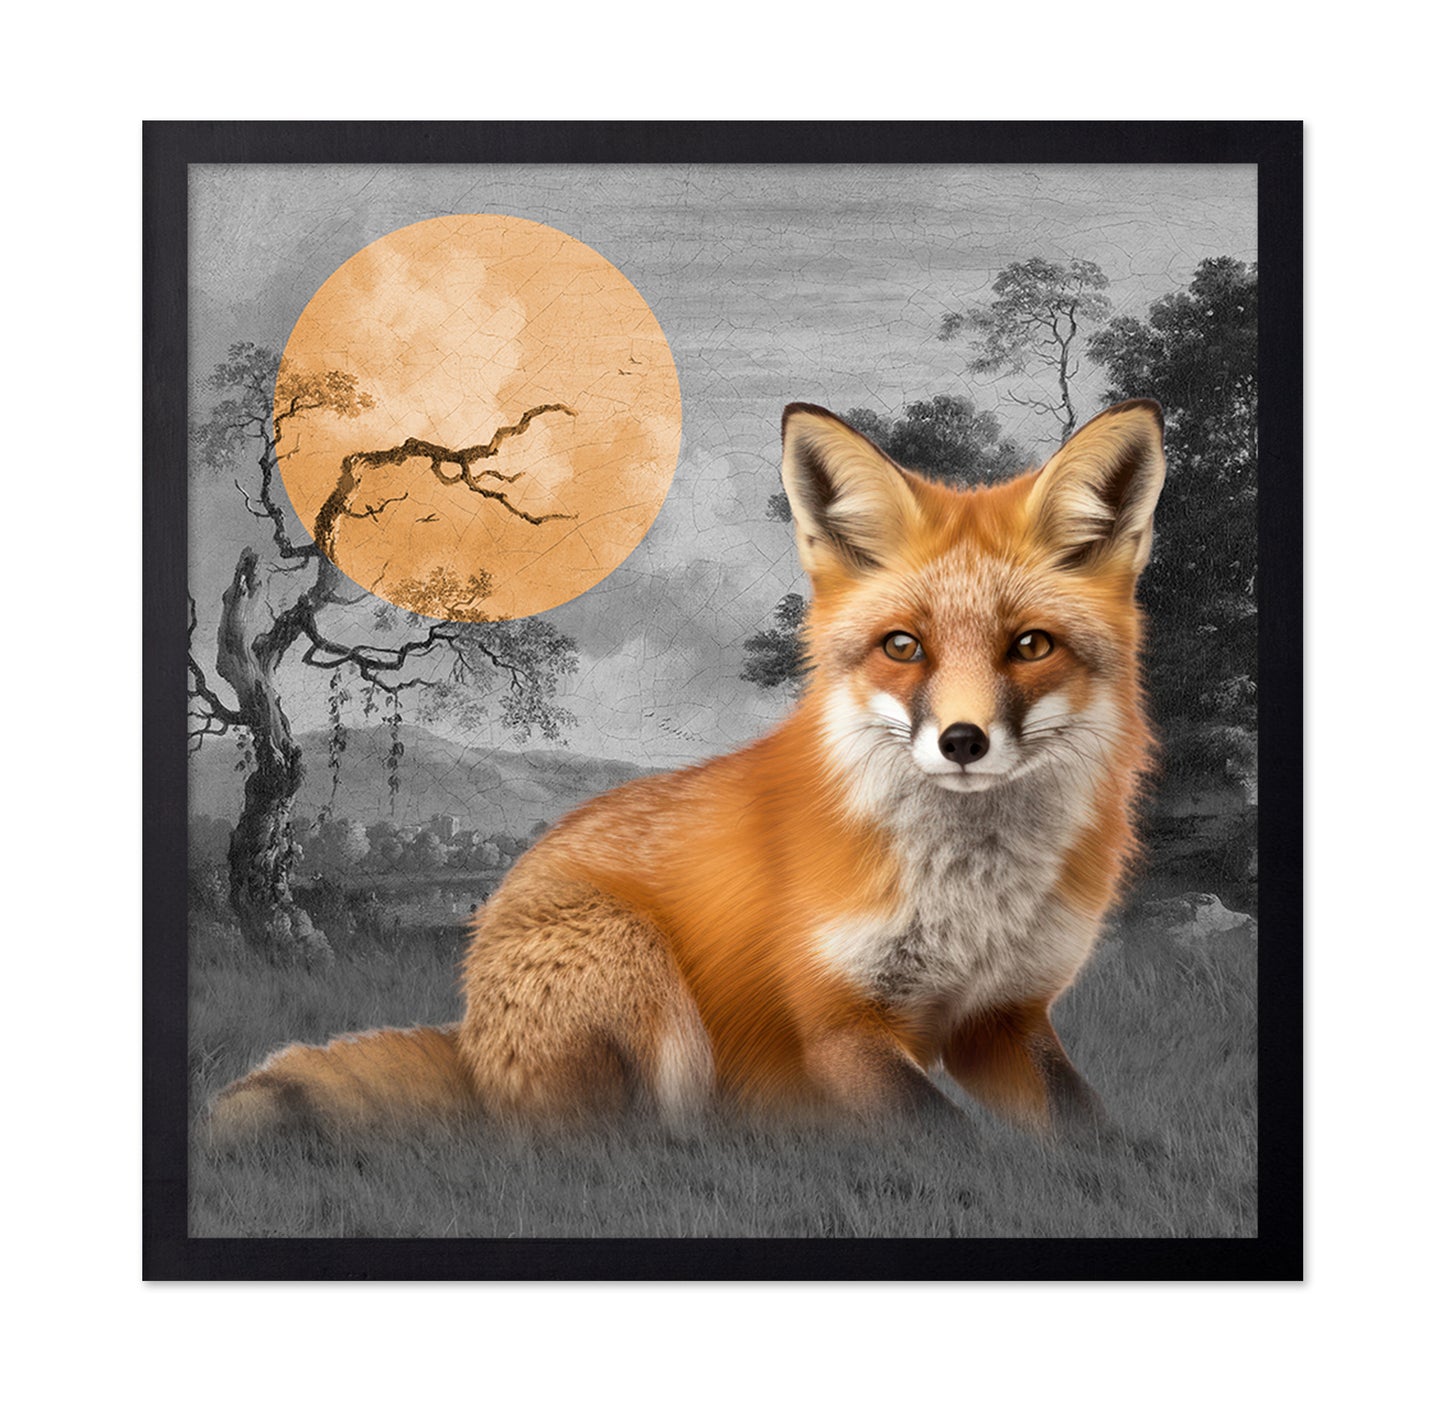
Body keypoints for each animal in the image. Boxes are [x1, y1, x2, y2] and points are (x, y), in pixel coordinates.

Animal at [209, 397, 1166, 1143]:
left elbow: (1093, 1133)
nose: (962, 741)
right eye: (903, 647)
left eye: (1030, 646)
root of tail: (473, 1042)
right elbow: (959, 1143)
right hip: (637, 968)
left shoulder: (1001, 1019)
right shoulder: (837, 1023)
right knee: (626, 1140)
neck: (971, 898)